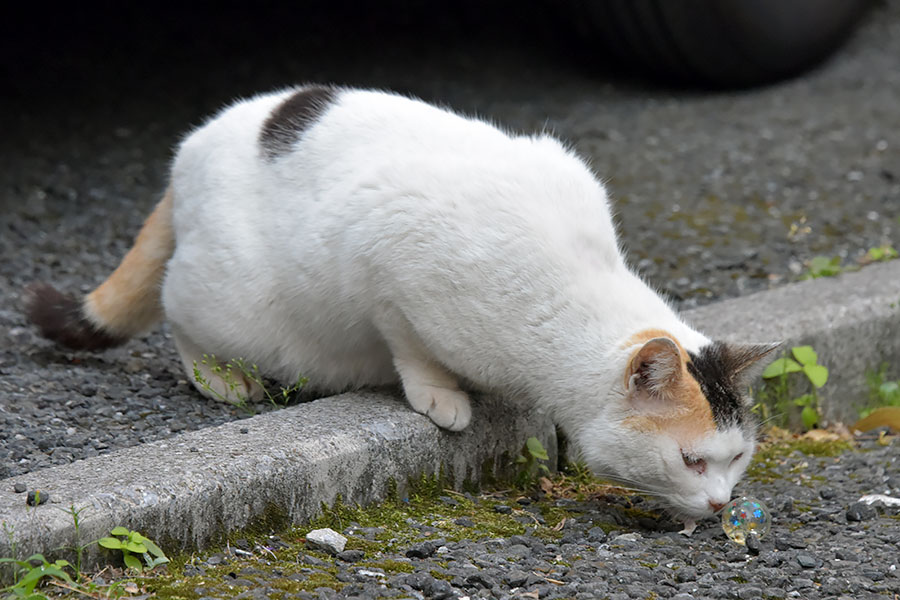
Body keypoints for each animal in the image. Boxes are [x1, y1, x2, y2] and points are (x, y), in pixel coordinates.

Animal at [24, 83, 776, 524]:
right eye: (692, 460)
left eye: (737, 458)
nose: (720, 503)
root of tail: (188, 153)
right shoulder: (388, 264)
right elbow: (409, 344)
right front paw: (442, 396)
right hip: (228, 298)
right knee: (176, 306)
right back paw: (220, 376)